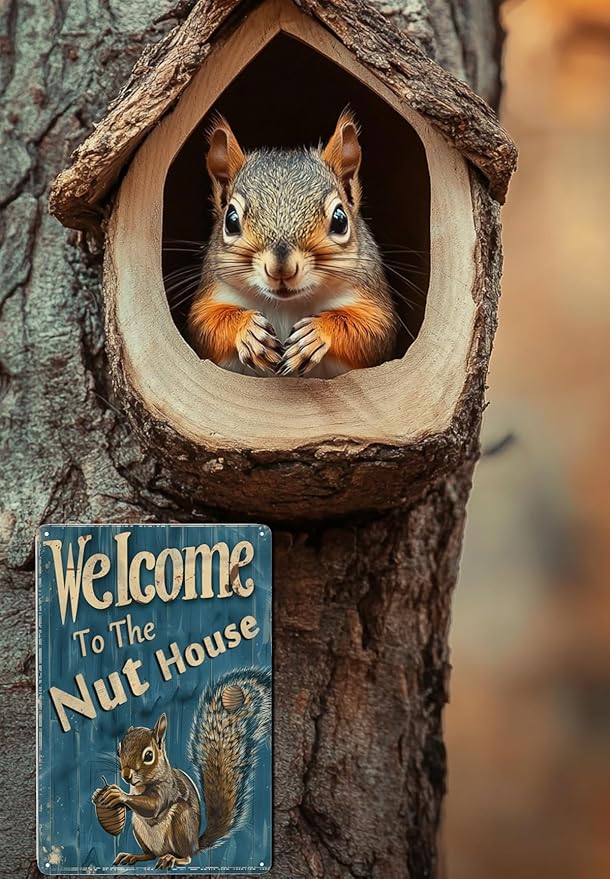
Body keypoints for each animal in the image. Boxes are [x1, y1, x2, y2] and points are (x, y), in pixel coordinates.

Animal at [92, 667, 271, 870]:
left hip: (181, 821)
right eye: (119, 749)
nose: (126, 775)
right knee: (150, 854)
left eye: (148, 756)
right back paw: (134, 856)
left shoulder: (167, 789)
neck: (142, 784)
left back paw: (172, 859)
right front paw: (99, 794)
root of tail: (195, 844)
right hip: (138, 828)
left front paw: (119, 794)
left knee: (186, 857)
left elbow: (153, 806)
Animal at [187, 110, 397, 378]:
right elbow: (205, 325)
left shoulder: (370, 297)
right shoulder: (213, 292)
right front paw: (250, 332)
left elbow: (373, 332)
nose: (281, 269)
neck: (287, 305)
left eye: (340, 220)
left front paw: (315, 334)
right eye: (231, 220)